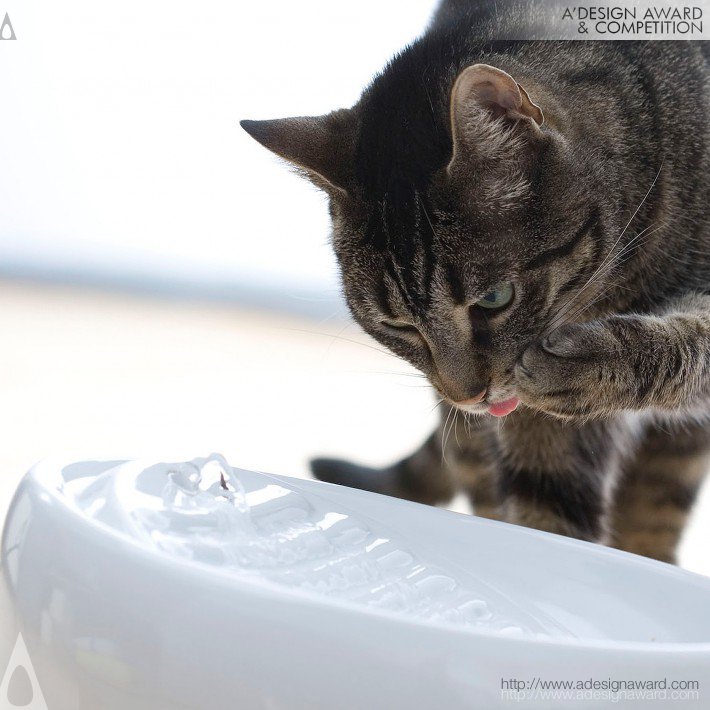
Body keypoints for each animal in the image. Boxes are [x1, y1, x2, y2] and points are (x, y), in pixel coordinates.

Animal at [243, 1, 710, 568]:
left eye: (493, 299)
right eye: (399, 325)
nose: (468, 395)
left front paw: (594, 360)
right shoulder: (536, 434)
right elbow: (547, 517)